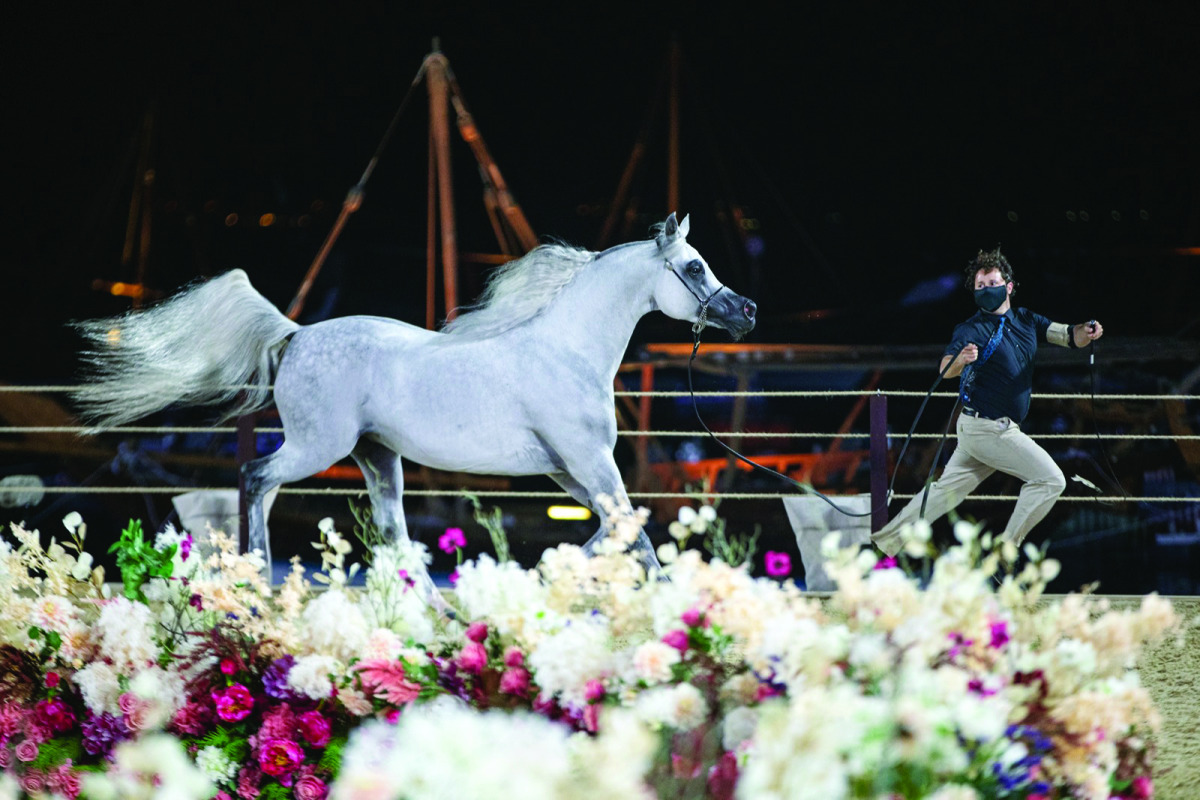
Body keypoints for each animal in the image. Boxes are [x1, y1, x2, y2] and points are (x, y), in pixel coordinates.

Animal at [72, 212, 756, 597]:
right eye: (695, 265)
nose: (746, 311)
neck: (566, 351)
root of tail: (295, 333)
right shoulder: (589, 462)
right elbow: (632, 532)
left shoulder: (571, 470)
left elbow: (616, 531)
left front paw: (541, 580)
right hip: (318, 446)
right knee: (256, 477)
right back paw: (258, 574)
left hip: (378, 459)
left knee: (395, 533)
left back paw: (435, 613)